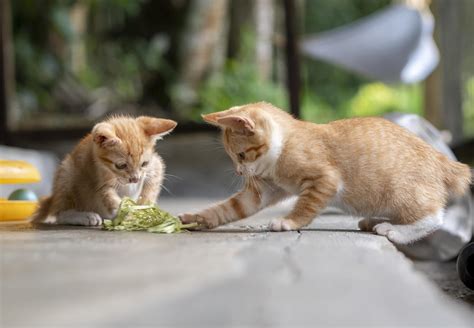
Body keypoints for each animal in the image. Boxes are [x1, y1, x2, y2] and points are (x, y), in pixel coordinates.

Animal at [33, 115, 177, 226]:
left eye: (144, 163)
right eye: (121, 166)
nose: (135, 179)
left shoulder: (155, 166)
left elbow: (151, 188)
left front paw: (144, 206)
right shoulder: (99, 180)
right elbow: (111, 198)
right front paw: (128, 212)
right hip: (67, 173)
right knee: (60, 213)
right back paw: (85, 217)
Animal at [181, 102, 470, 243]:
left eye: (241, 155)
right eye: (233, 158)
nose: (239, 172)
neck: (283, 145)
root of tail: (440, 157)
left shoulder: (325, 180)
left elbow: (306, 205)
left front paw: (289, 222)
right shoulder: (262, 191)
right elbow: (230, 208)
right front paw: (198, 218)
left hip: (401, 191)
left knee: (433, 218)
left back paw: (395, 231)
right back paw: (375, 221)